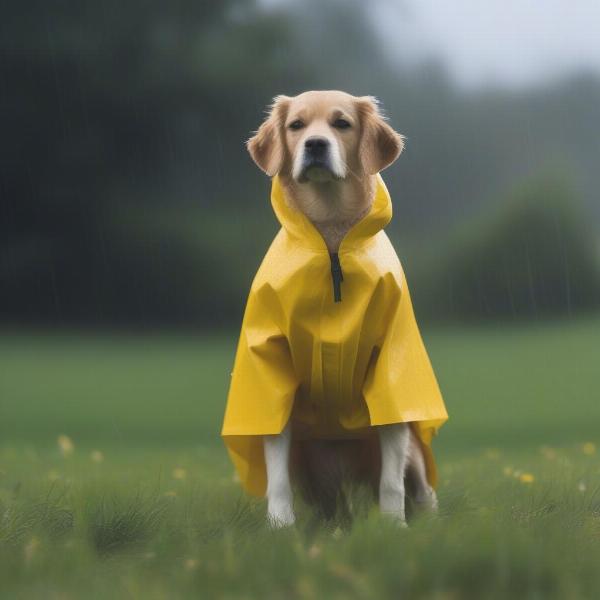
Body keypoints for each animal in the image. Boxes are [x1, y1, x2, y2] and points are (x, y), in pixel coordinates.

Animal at [223, 89, 448, 524]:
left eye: (341, 123)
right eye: (296, 125)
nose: (315, 145)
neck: (331, 244)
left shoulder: (388, 373)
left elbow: (391, 481)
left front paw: (394, 528)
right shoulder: (272, 369)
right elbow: (277, 479)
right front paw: (281, 528)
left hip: (413, 453)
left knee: (419, 487)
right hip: (309, 469)